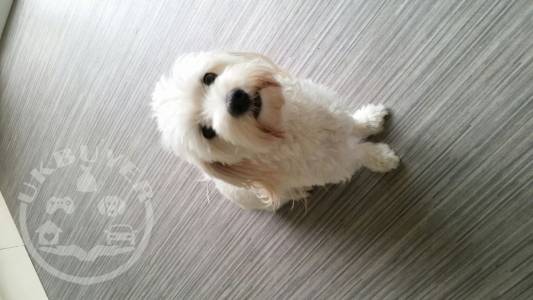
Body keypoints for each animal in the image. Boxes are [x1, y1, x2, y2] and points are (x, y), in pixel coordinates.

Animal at [152, 52, 396, 211]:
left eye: (209, 77)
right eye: (208, 132)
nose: (236, 100)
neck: (285, 125)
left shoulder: (334, 115)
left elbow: (353, 123)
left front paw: (371, 119)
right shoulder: (336, 163)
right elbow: (360, 153)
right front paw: (383, 158)